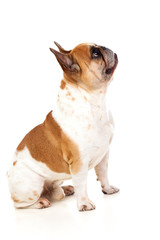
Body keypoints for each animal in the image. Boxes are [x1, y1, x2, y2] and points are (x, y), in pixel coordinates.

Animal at [7, 42, 119, 211]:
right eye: (95, 53)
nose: (105, 47)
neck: (93, 101)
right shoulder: (79, 163)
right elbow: (81, 184)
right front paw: (84, 203)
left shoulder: (104, 155)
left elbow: (103, 174)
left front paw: (107, 189)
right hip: (33, 185)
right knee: (20, 204)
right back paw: (40, 202)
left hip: (55, 178)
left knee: (53, 187)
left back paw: (64, 189)